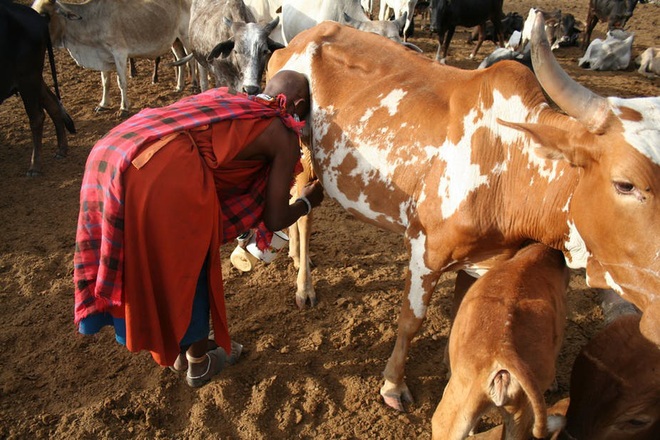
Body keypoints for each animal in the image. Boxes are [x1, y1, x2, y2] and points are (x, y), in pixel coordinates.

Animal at [0, 0, 75, 175]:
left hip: (28, 77)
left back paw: (35, 166)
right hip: (32, 79)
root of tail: (38, 18)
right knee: (53, 104)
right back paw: (61, 150)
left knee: (37, 117)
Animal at [31, 0, 191, 115]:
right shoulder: (103, 57)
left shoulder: (119, 53)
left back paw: (194, 85)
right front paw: (103, 105)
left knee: (192, 61)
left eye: (45, 16)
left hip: (186, 36)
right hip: (175, 40)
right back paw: (179, 86)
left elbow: (121, 82)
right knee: (181, 58)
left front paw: (124, 108)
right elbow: (105, 82)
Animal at [266, 12, 660, 412]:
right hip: (303, 157)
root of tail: (298, 40)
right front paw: (393, 384)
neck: (509, 157)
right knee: (303, 214)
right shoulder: (426, 252)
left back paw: (297, 257)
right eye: (625, 184)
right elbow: (411, 321)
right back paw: (304, 284)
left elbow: (460, 311)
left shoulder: (484, 257)